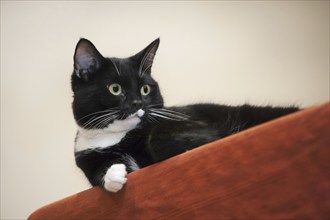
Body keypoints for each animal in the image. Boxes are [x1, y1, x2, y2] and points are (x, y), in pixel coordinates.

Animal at [71, 37, 298, 192]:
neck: (117, 137)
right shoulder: (86, 156)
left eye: (145, 89)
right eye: (115, 89)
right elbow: (98, 173)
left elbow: (158, 138)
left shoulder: (191, 121)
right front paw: (113, 174)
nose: (137, 103)